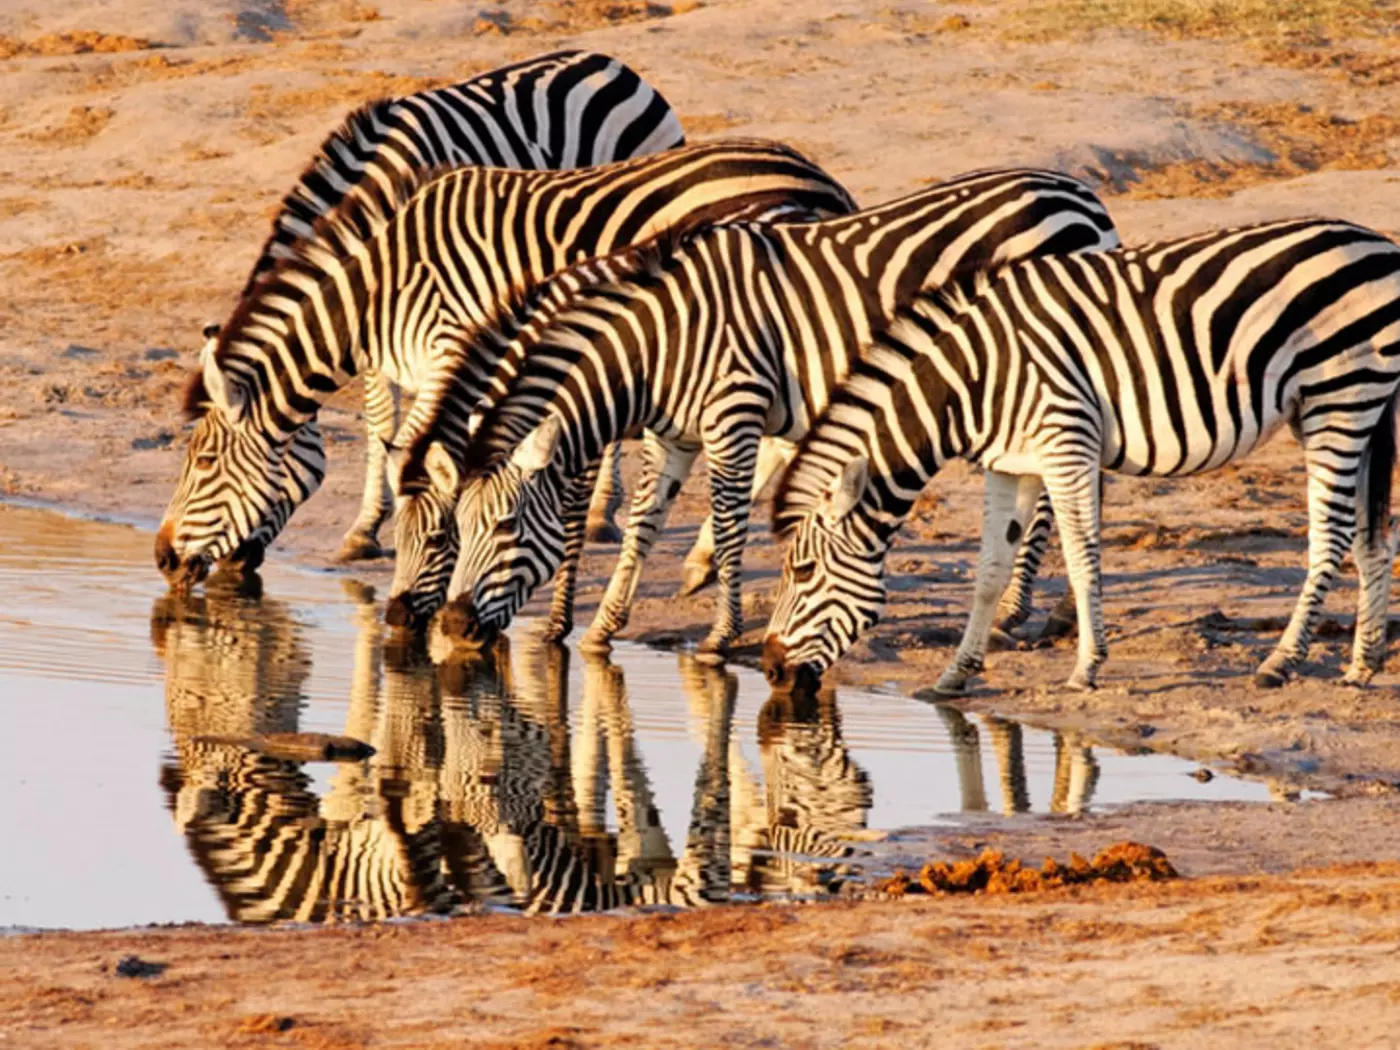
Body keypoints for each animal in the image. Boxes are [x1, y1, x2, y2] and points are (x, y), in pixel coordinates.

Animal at [155, 139, 856, 608]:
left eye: (202, 462)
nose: (160, 559)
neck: (383, 283)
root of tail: (819, 177)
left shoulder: (451, 346)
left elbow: (416, 455)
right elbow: (411, 451)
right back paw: (703, 558)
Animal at [189, 50, 687, 567]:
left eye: (206, 462)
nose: (177, 563)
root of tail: (612, 63)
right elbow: (381, 423)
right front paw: (369, 527)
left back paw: (601, 513)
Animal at [398, 169, 1118, 657]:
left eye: (501, 528)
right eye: (455, 528)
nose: (445, 626)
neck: (656, 342)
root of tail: (1079, 194)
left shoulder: (732, 413)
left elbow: (726, 520)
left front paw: (718, 634)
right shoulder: (675, 434)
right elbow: (643, 523)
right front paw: (603, 624)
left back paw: (1023, 612)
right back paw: (1049, 612)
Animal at [762, 218, 1400, 694]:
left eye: (802, 571)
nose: (768, 668)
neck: (974, 379)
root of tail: (1378, 242)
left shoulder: (1065, 443)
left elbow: (1080, 555)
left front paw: (1086, 668)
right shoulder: (1009, 464)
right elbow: (990, 567)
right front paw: (955, 674)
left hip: (1340, 398)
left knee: (1332, 535)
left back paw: (1281, 661)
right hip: (1350, 410)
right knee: (1372, 535)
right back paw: (1362, 664)